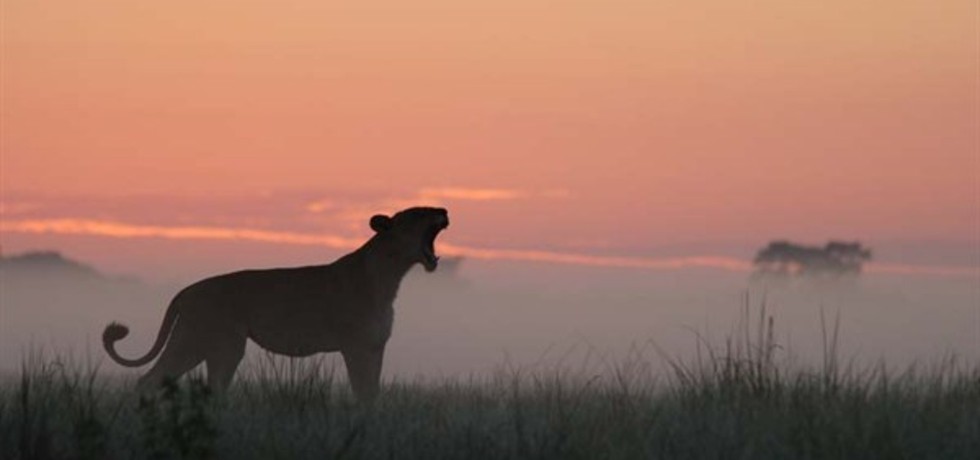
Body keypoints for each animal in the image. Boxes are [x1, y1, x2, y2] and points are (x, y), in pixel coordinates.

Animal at [103, 207, 449, 401]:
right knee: (153, 380)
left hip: (207, 345)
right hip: (206, 341)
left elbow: (372, 393)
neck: (390, 276)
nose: (444, 210)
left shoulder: (375, 347)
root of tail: (185, 291)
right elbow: (361, 392)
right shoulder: (356, 347)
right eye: (418, 213)